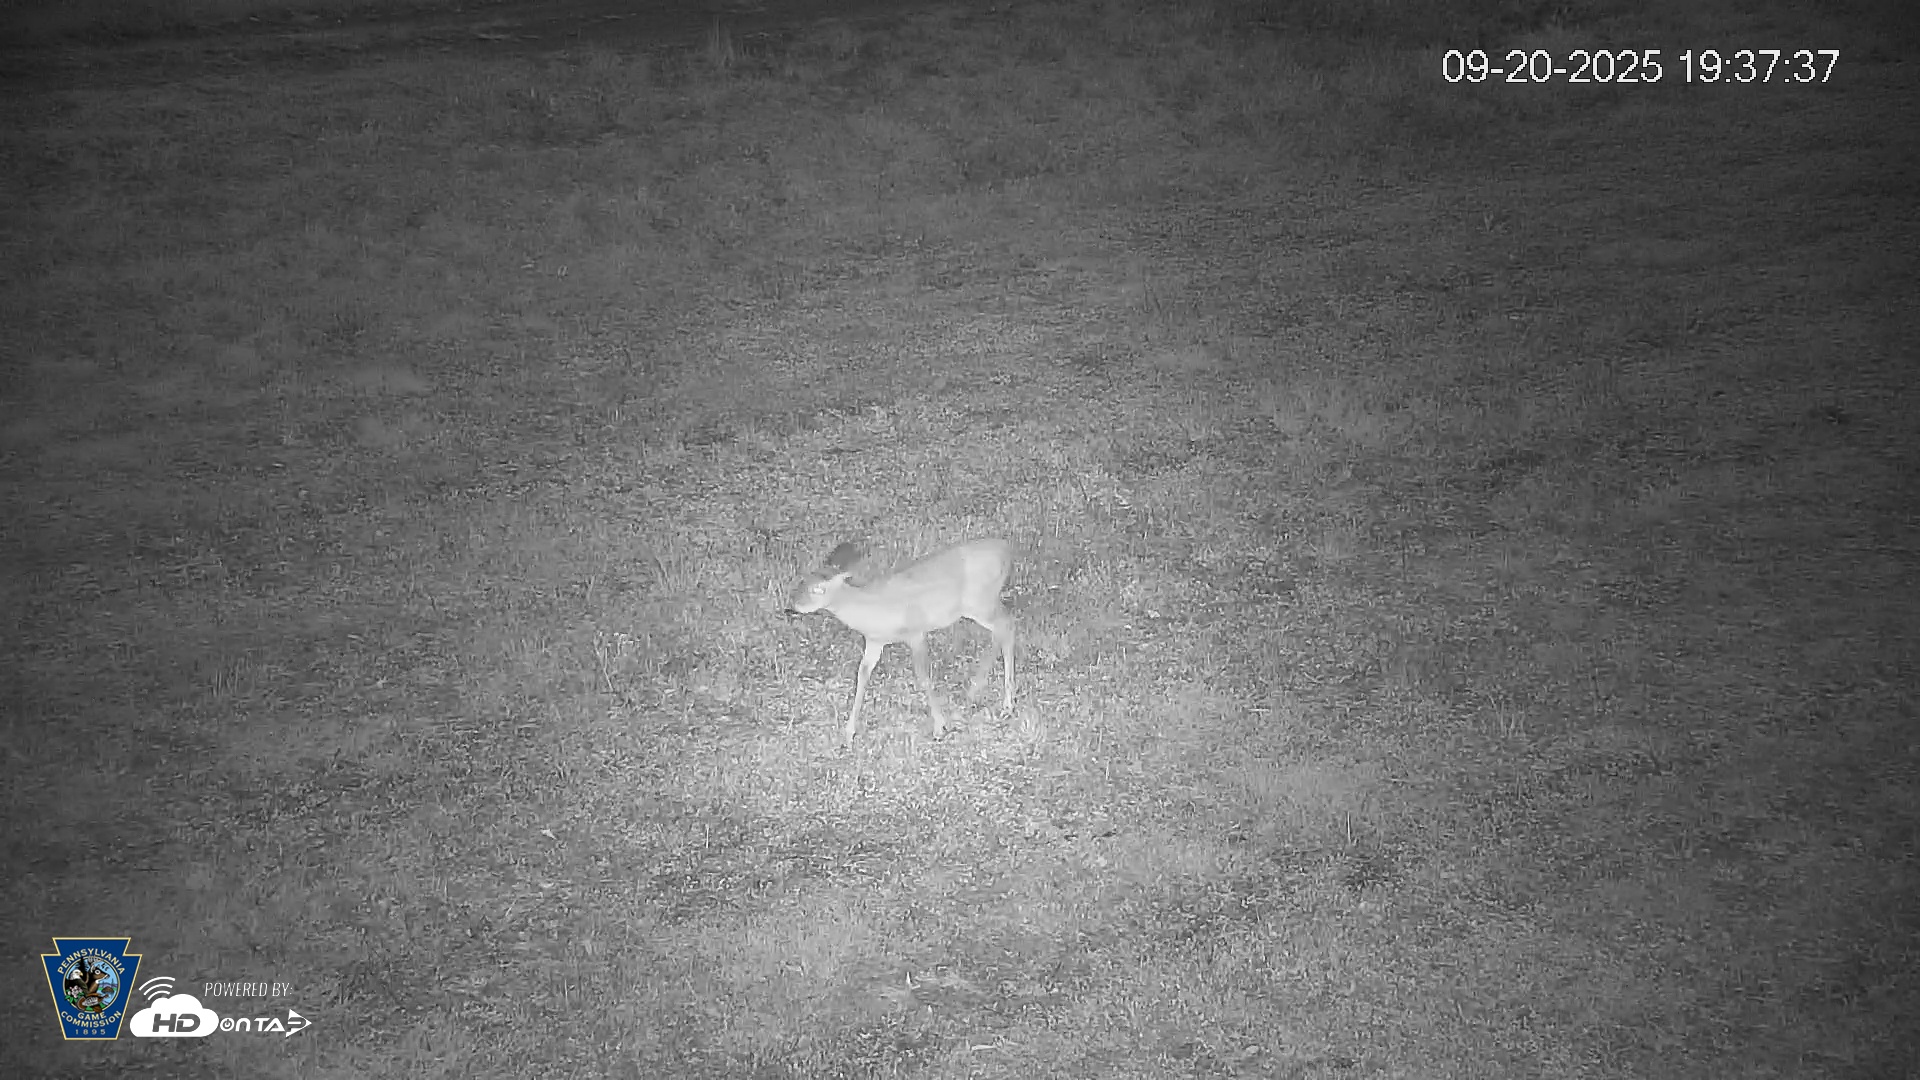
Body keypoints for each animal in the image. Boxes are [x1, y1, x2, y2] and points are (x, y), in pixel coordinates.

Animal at [787, 538, 1016, 747]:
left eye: (819, 589)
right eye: (803, 580)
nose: (793, 606)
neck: (871, 608)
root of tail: (1006, 548)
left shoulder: (916, 632)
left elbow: (924, 678)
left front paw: (939, 727)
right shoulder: (874, 641)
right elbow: (861, 676)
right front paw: (848, 734)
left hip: (980, 602)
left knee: (1006, 625)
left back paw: (1005, 703)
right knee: (1002, 629)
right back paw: (976, 691)